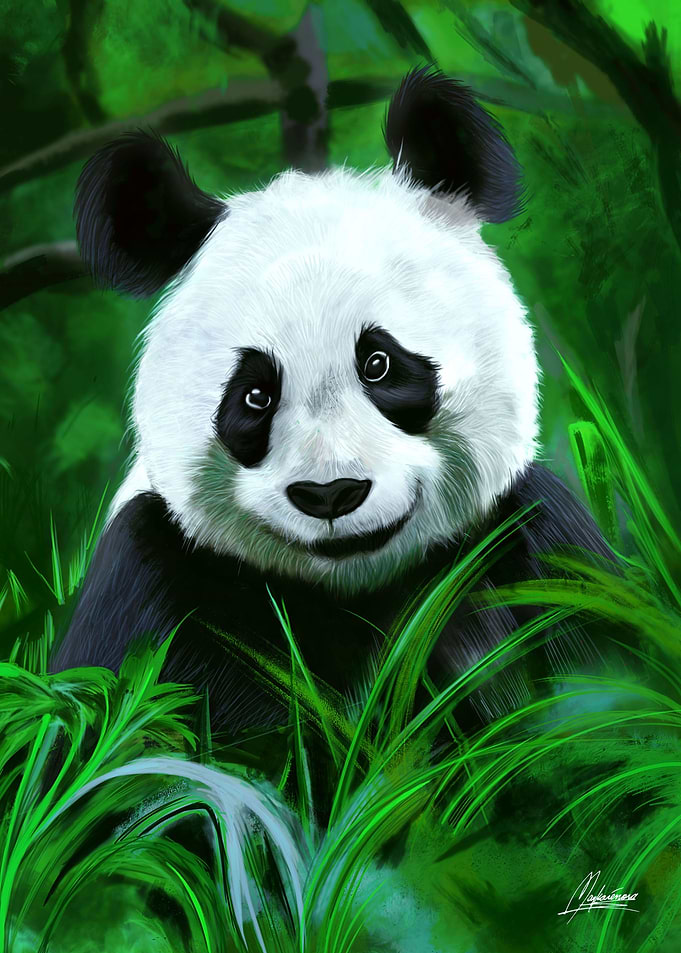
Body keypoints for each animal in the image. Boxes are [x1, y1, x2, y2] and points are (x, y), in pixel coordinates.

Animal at [51, 67, 611, 735]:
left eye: (379, 363)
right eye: (255, 395)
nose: (330, 494)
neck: (354, 592)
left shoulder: (530, 544)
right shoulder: (149, 577)